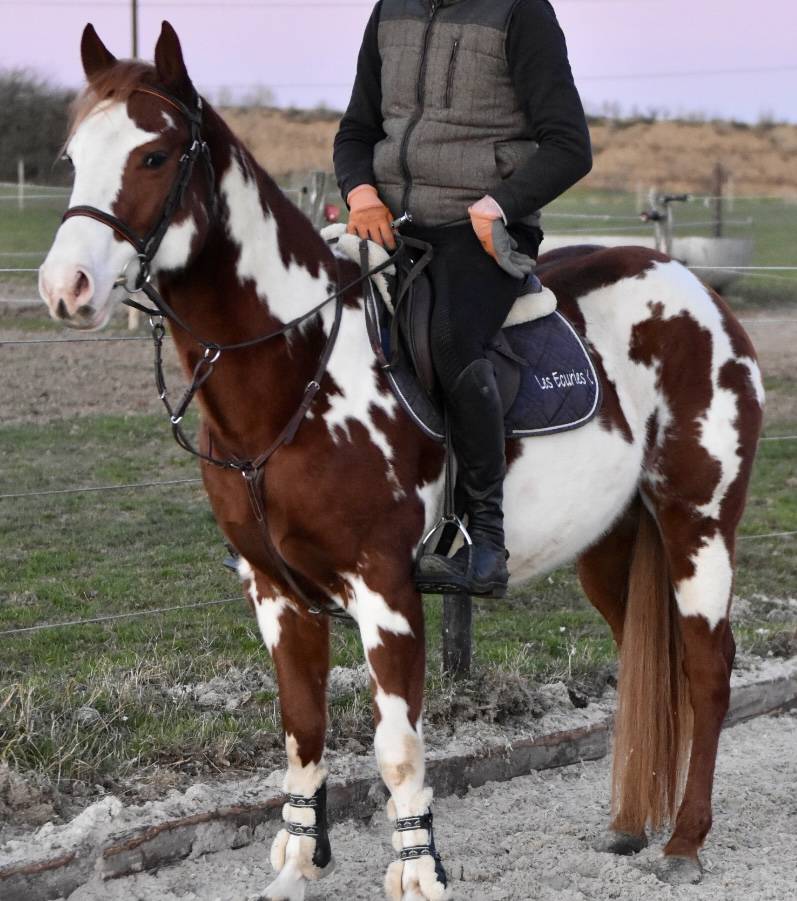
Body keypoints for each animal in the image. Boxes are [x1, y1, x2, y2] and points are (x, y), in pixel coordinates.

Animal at [38, 22, 764, 901]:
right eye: (73, 155)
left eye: (152, 155)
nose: (65, 286)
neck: (296, 367)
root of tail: (695, 290)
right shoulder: (276, 593)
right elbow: (302, 734)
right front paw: (295, 867)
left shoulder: (384, 589)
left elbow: (396, 747)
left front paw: (417, 872)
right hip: (613, 545)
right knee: (642, 663)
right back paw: (629, 826)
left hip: (699, 524)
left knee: (706, 671)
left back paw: (684, 839)